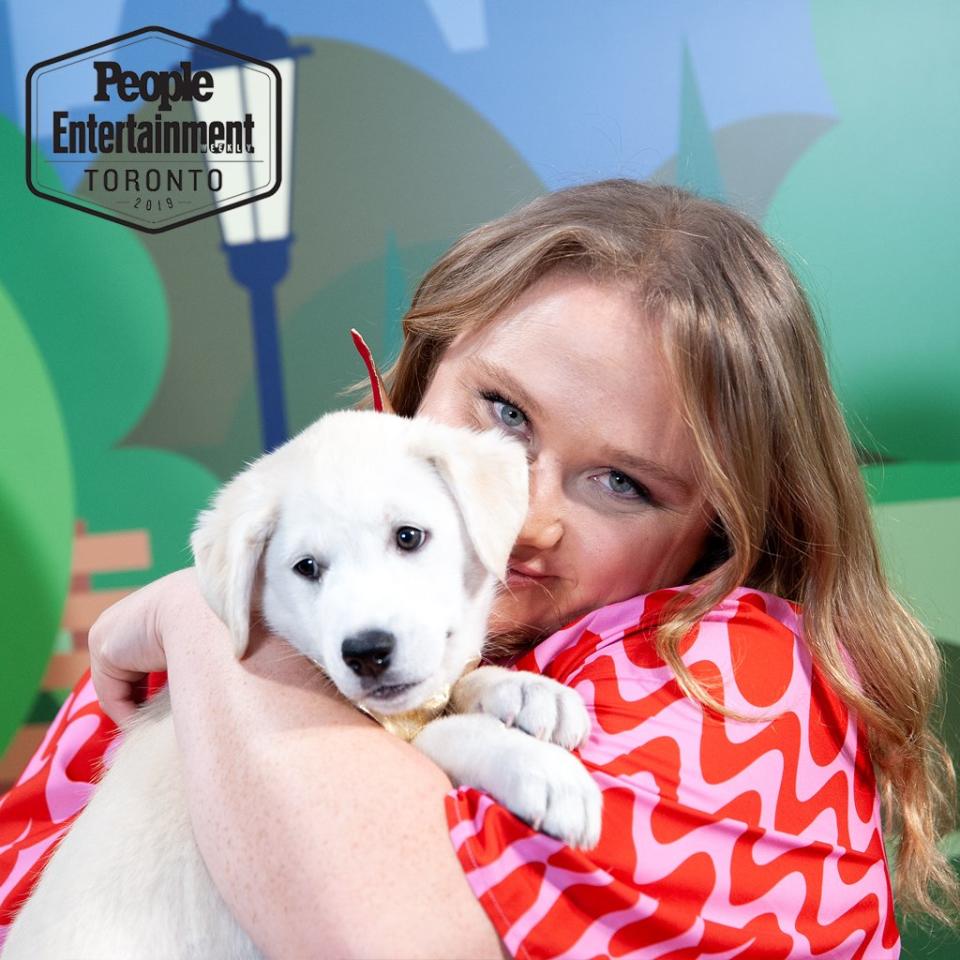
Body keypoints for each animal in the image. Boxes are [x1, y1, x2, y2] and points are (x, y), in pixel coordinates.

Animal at [3, 410, 600, 960]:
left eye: (409, 537)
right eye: (307, 567)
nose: (366, 653)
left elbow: (459, 685)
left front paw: (528, 692)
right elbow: (449, 732)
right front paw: (540, 769)